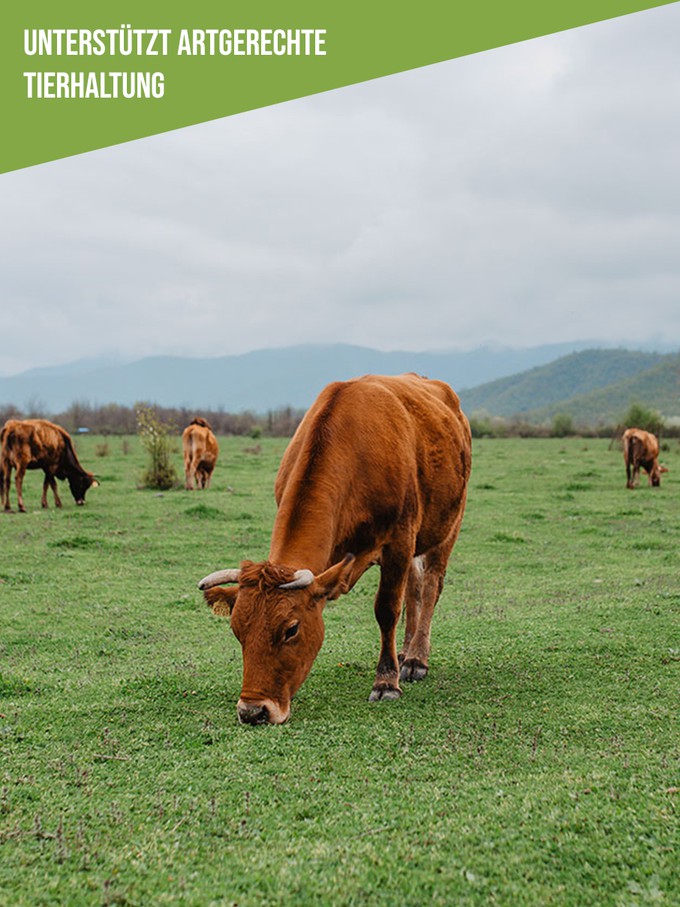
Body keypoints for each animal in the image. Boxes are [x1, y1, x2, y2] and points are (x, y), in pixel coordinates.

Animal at [198, 372, 472, 728]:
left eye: (291, 629)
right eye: (236, 630)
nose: (254, 711)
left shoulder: (399, 541)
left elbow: (387, 609)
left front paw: (386, 682)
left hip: (447, 526)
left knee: (430, 587)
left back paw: (416, 659)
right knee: (414, 588)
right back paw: (405, 651)